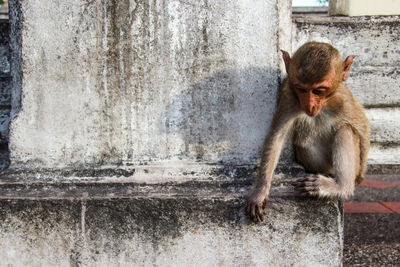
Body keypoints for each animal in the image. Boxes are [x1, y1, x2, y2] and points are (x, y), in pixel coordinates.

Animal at [245, 40, 370, 223]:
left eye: (318, 90)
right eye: (302, 89)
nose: (310, 105)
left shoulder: (342, 99)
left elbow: (362, 126)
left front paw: (360, 178)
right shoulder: (289, 94)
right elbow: (277, 136)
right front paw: (260, 192)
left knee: (346, 129)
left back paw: (341, 186)